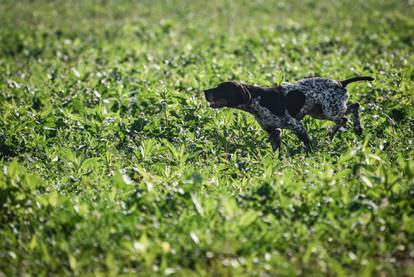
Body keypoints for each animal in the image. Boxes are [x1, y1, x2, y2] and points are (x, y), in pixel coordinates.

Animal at [205, 76, 376, 153]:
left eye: (221, 88)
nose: (204, 91)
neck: (257, 99)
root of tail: (340, 82)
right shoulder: (274, 132)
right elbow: (277, 151)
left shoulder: (296, 125)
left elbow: (307, 142)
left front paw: (311, 154)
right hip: (321, 112)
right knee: (350, 111)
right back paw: (339, 133)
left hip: (330, 111)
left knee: (348, 114)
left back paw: (352, 129)